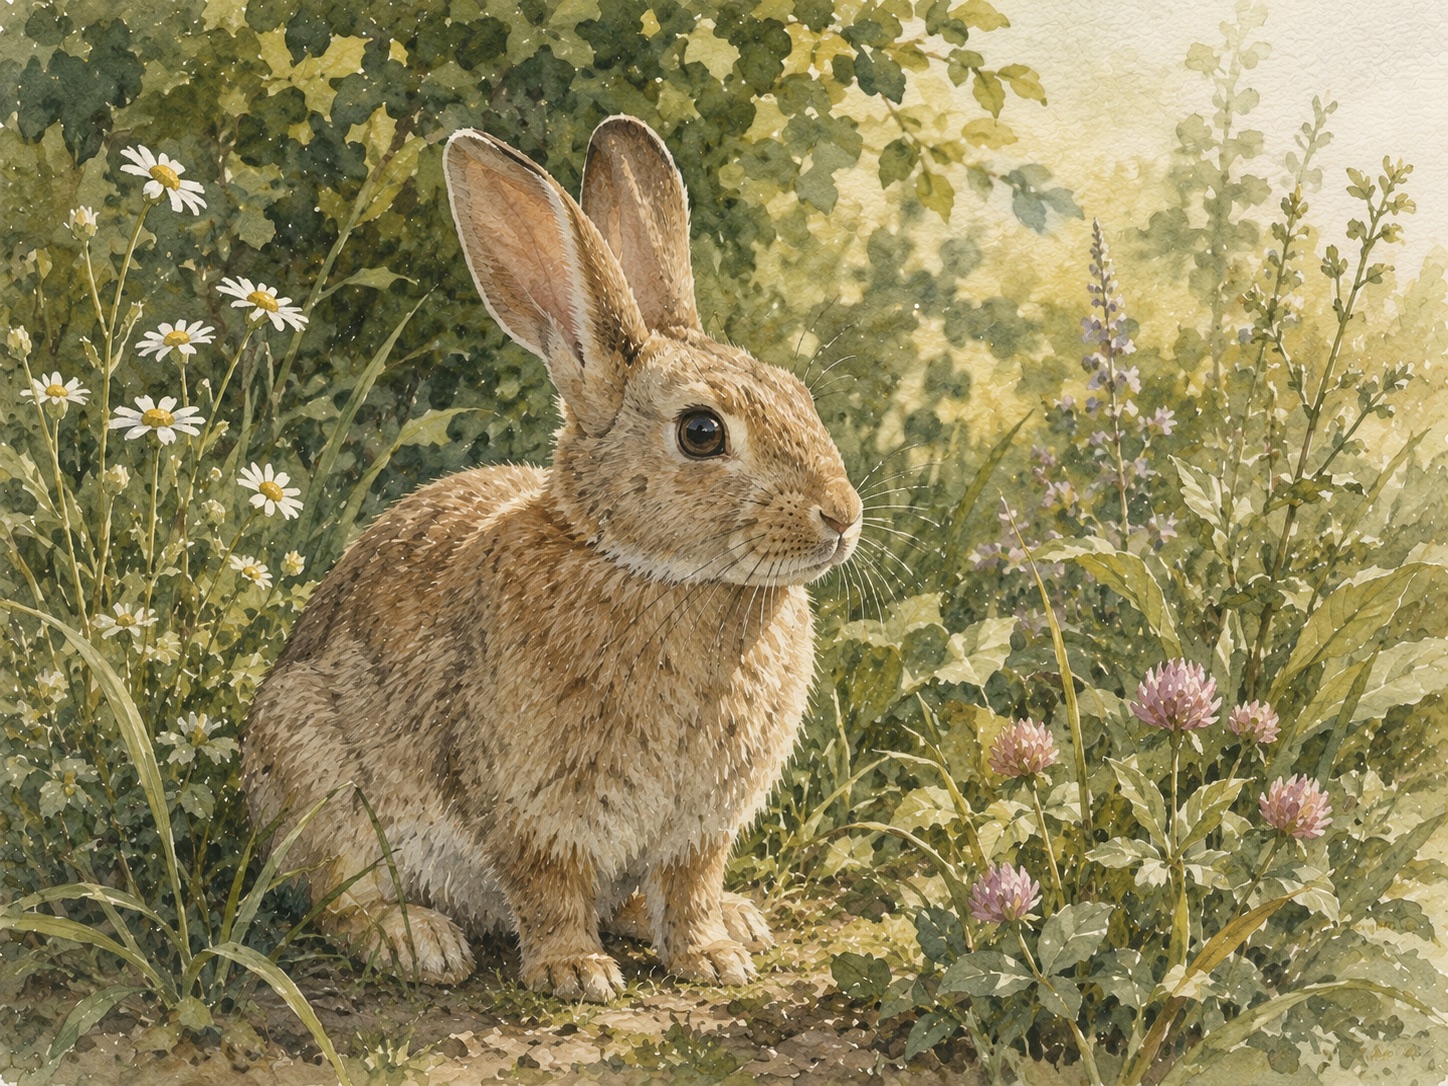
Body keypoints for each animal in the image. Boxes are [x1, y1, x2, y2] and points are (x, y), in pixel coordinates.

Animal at [241, 115, 862, 1002]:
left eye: (800, 397)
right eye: (701, 432)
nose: (841, 517)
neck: (648, 568)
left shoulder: (701, 824)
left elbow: (691, 886)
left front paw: (713, 957)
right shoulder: (533, 804)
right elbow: (549, 885)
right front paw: (576, 973)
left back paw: (731, 920)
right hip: (317, 772)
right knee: (334, 894)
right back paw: (419, 943)